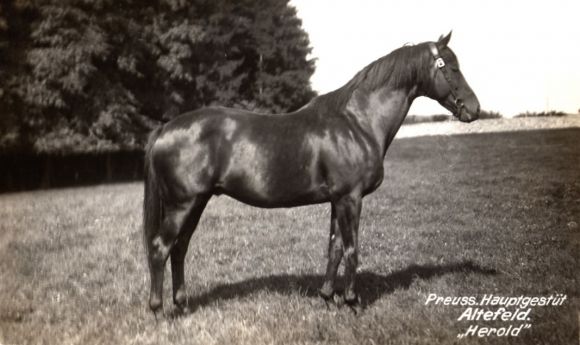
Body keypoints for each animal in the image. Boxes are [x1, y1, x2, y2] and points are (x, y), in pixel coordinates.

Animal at [144, 32, 480, 314]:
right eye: (450, 68)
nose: (474, 109)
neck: (356, 122)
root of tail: (165, 128)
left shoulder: (337, 200)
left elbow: (334, 249)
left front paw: (328, 298)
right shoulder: (351, 199)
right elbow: (352, 250)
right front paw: (352, 302)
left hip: (196, 203)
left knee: (179, 249)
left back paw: (182, 305)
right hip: (182, 205)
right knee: (161, 248)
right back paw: (158, 310)